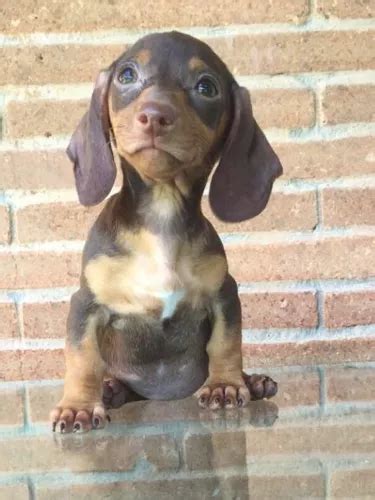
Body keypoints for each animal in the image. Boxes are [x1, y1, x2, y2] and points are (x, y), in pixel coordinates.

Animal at [51, 31, 284, 432]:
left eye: (206, 86)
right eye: (127, 75)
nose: (155, 115)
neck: (162, 214)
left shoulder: (224, 293)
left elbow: (226, 344)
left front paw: (225, 385)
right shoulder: (86, 303)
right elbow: (83, 357)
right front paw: (78, 406)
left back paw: (252, 382)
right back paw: (110, 390)